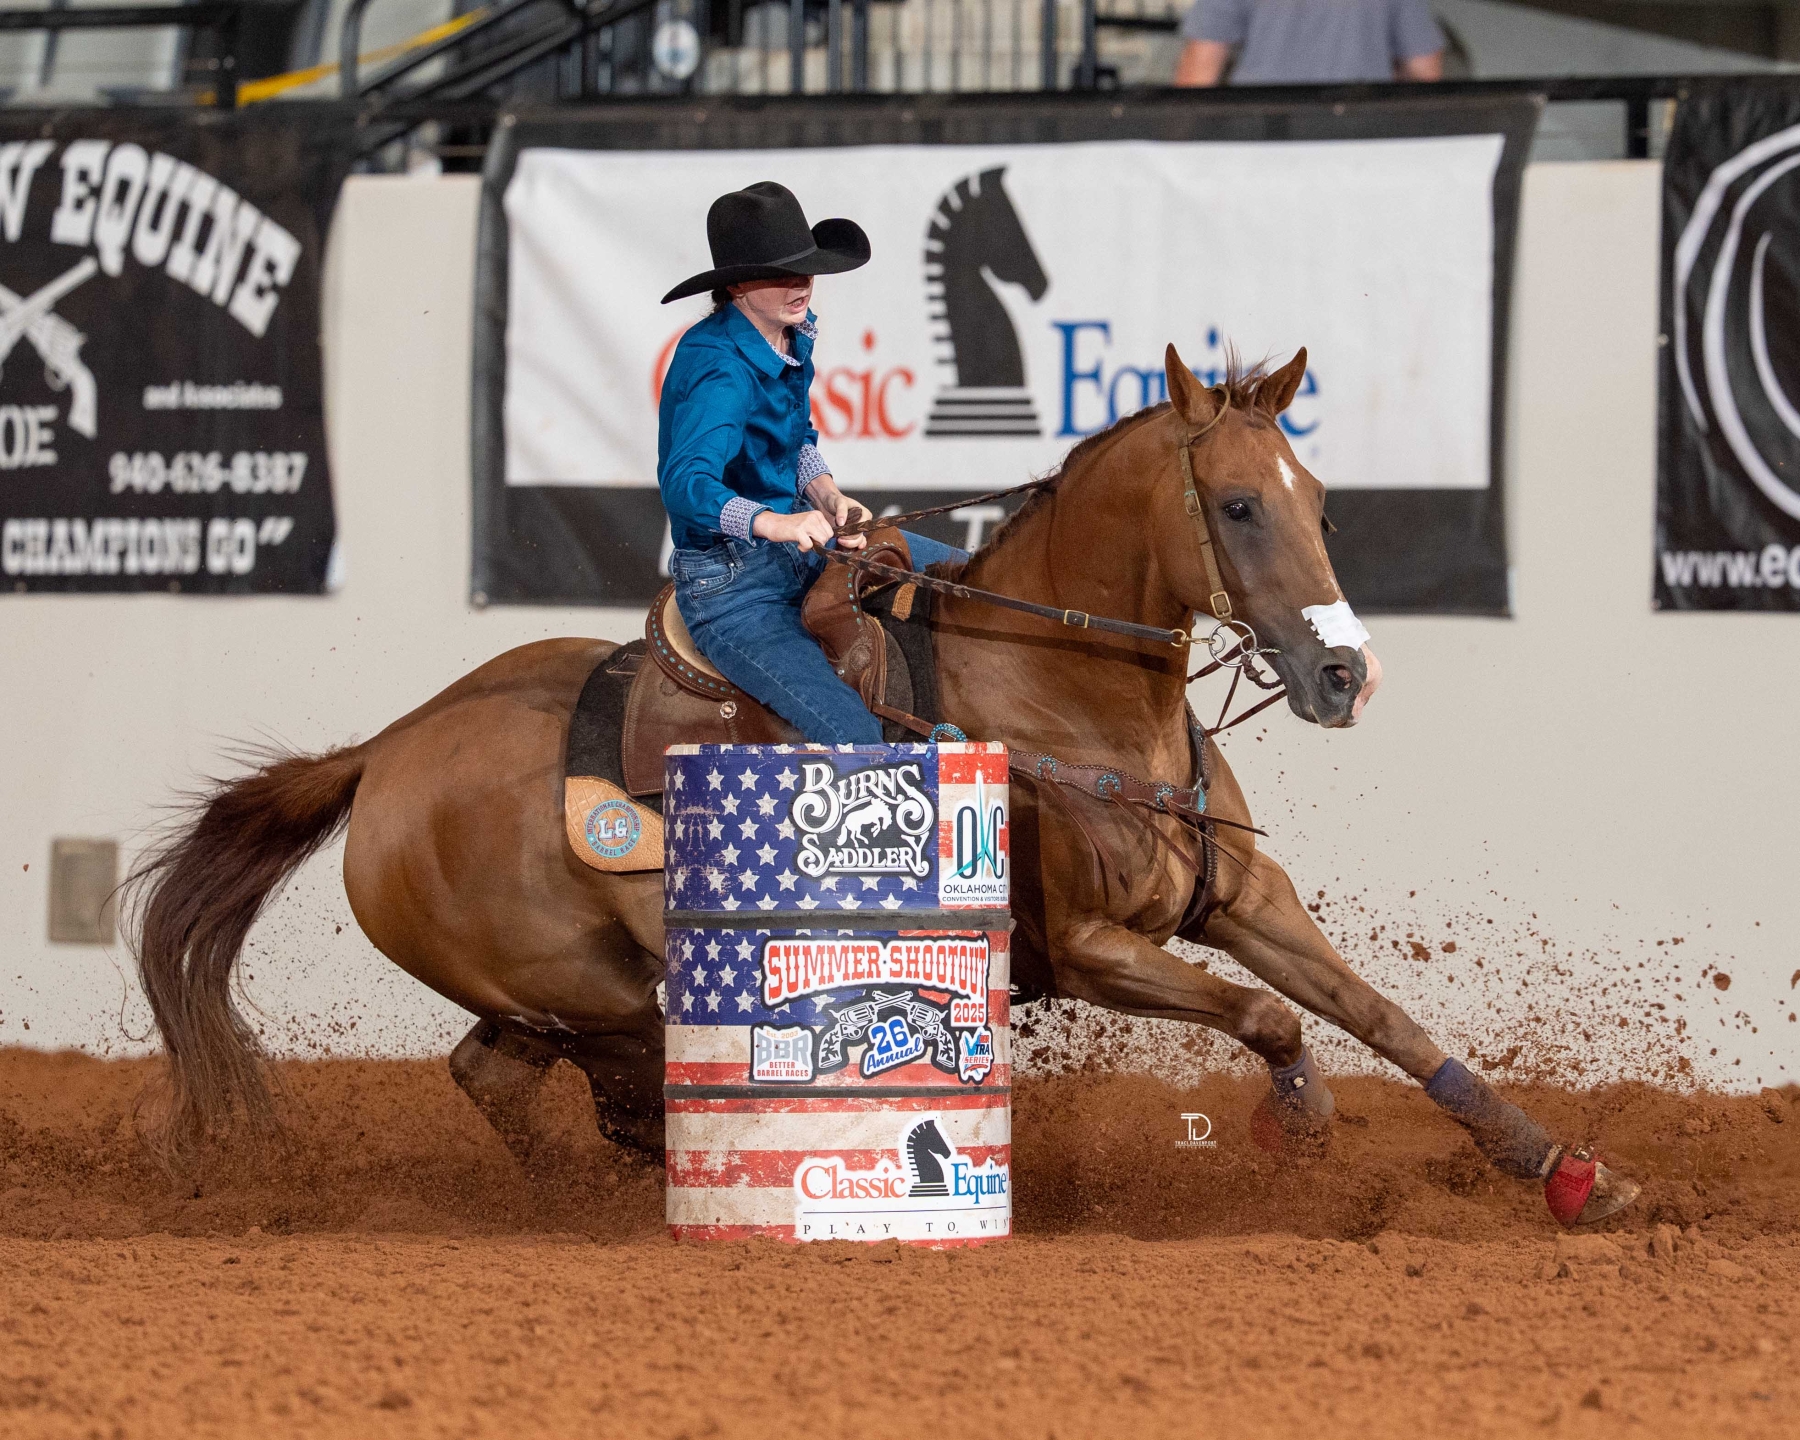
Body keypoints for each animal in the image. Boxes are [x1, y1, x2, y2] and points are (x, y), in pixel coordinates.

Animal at [129, 342, 1637, 1227]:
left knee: (498, 1077)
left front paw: (1569, 1174)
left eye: (1320, 499)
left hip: (554, 997)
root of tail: (386, 750)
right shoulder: (1093, 948)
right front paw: (1302, 1129)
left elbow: (1381, 1015)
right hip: (585, 986)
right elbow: (1270, 1021)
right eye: (1239, 505)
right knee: (552, 1078)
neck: (1072, 696)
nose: (1340, 676)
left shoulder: (1241, 898)